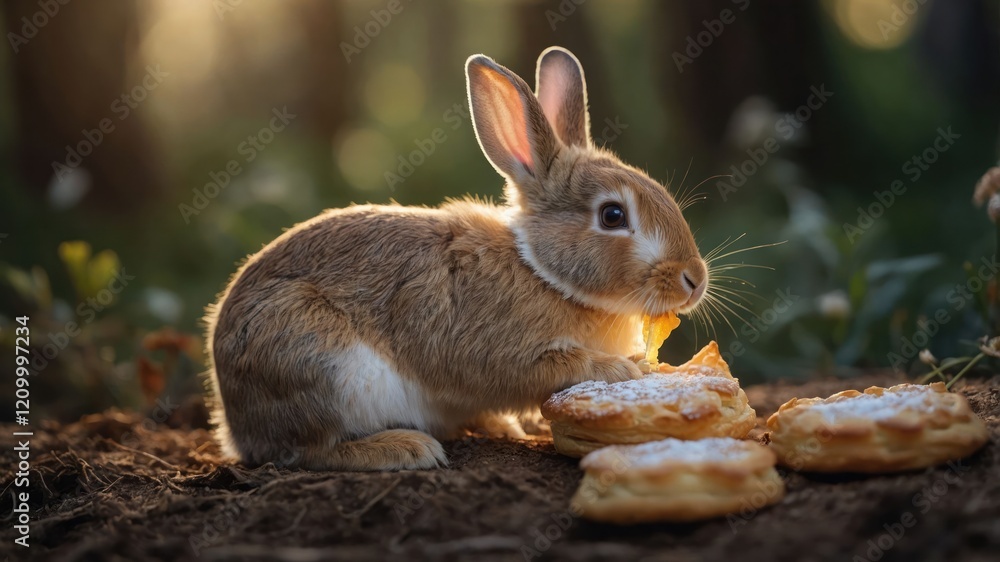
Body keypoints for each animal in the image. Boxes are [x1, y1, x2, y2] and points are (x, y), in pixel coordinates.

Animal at [204, 46, 709, 471]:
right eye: (612, 215)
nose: (695, 279)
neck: (541, 272)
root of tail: (235, 421)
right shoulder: (506, 352)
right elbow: (553, 369)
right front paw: (622, 369)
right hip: (321, 364)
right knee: (308, 449)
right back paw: (404, 448)